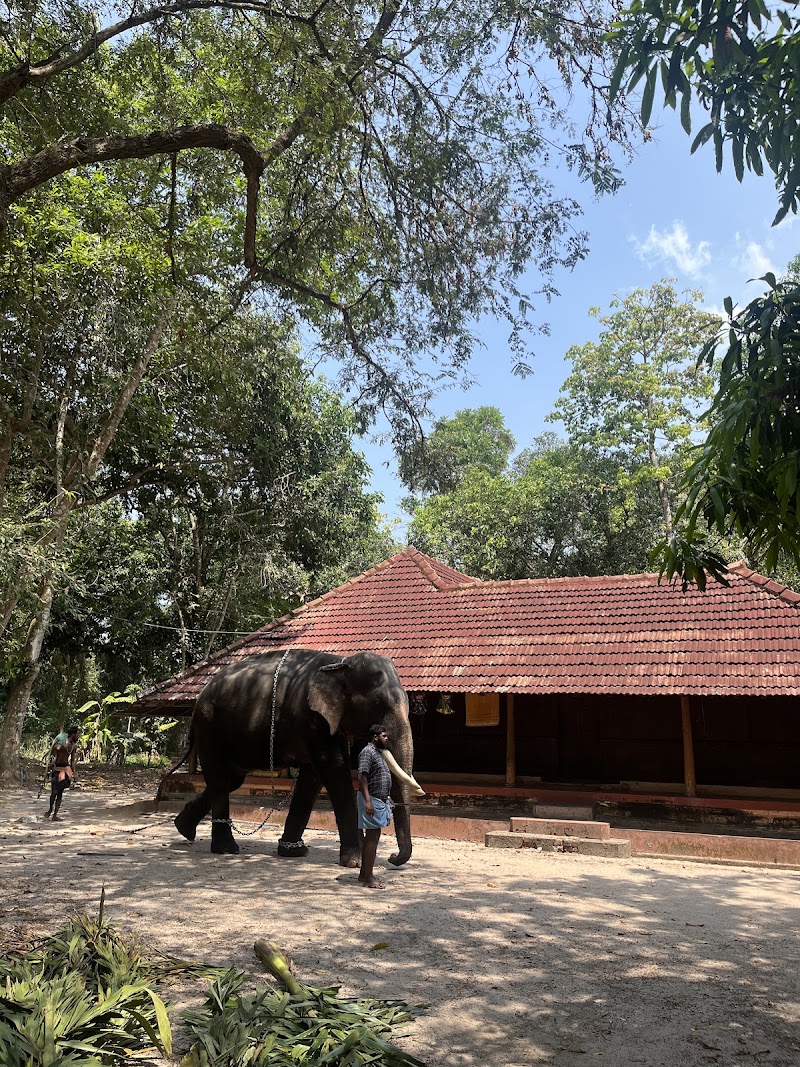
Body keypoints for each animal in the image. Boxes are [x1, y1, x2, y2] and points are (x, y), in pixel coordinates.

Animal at [171, 649, 419, 867]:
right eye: (378, 704)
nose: (392, 858)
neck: (340, 662)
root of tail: (199, 697)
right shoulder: (314, 719)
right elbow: (334, 770)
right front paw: (353, 861)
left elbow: (312, 778)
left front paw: (294, 852)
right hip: (210, 728)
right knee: (221, 780)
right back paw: (226, 849)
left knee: (230, 780)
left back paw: (183, 828)